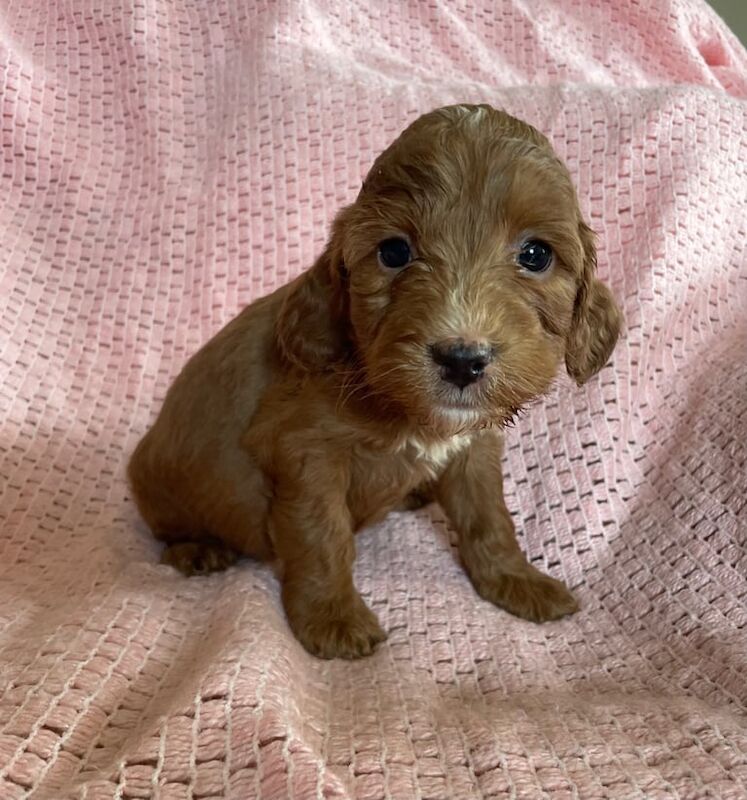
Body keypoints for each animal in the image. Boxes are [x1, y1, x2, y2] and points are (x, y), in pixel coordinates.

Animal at [130, 104, 624, 656]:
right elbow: (322, 535)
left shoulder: (474, 450)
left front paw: (515, 581)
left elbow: (489, 518)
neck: (402, 408)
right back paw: (196, 549)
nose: (462, 360)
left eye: (536, 255)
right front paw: (332, 617)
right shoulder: (306, 454)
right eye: (393, 252)